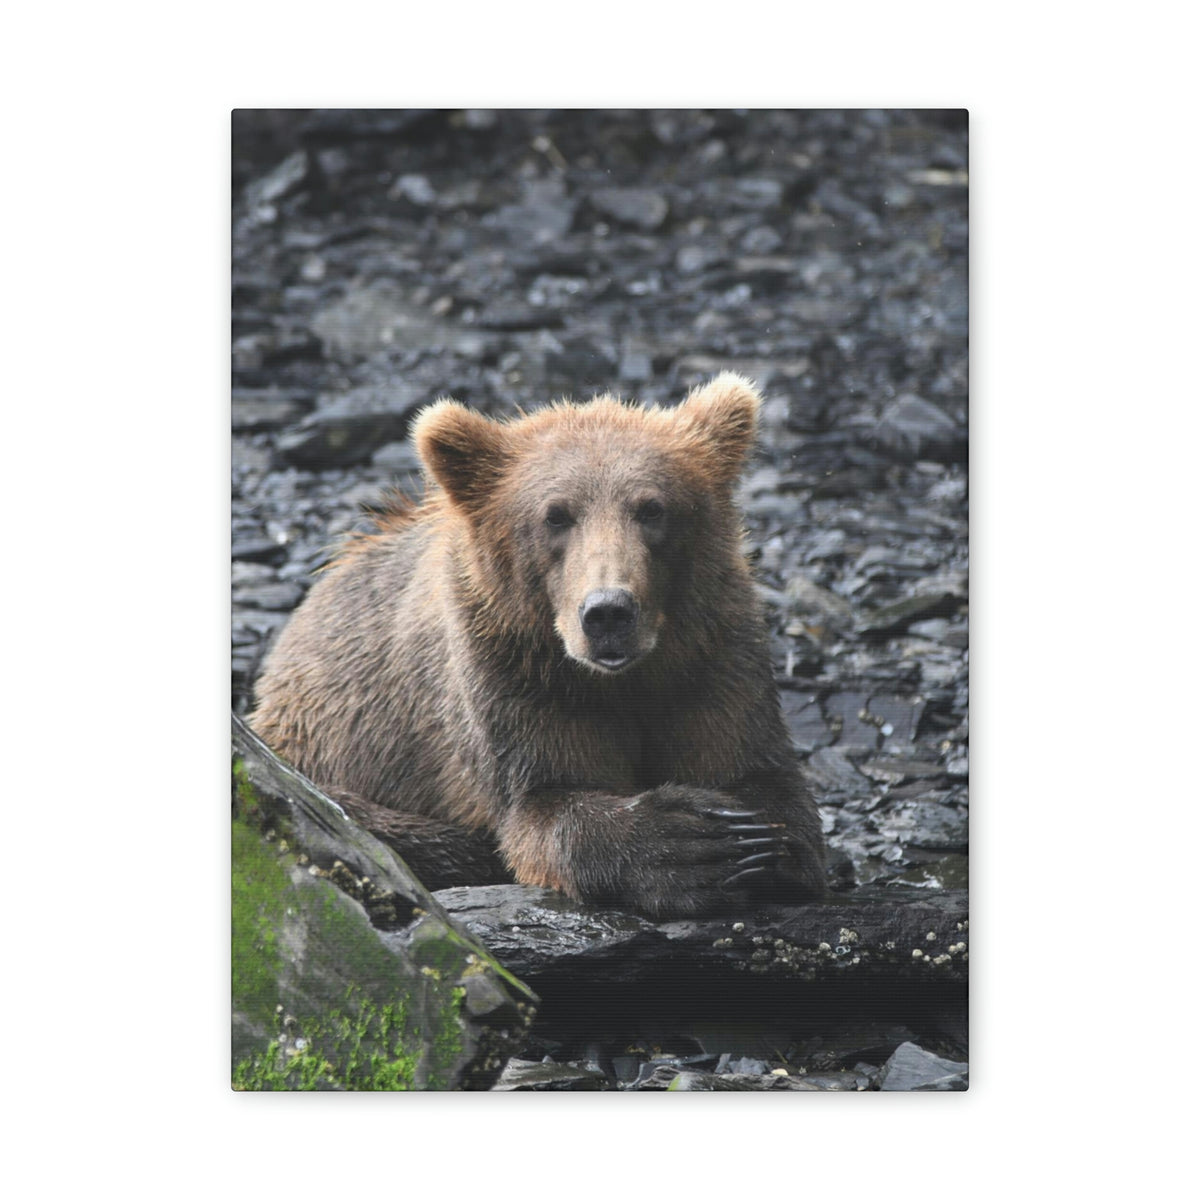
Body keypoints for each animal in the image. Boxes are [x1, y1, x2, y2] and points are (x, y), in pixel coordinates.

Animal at [250, 373, 827, 918]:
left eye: (652, 509)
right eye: (556, 514)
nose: (608, 612)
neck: (621, 679)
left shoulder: (711, 655)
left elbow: (758, 774)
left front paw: (751, 842)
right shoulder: (514, 676)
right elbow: (543, 803)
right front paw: (688, 844)